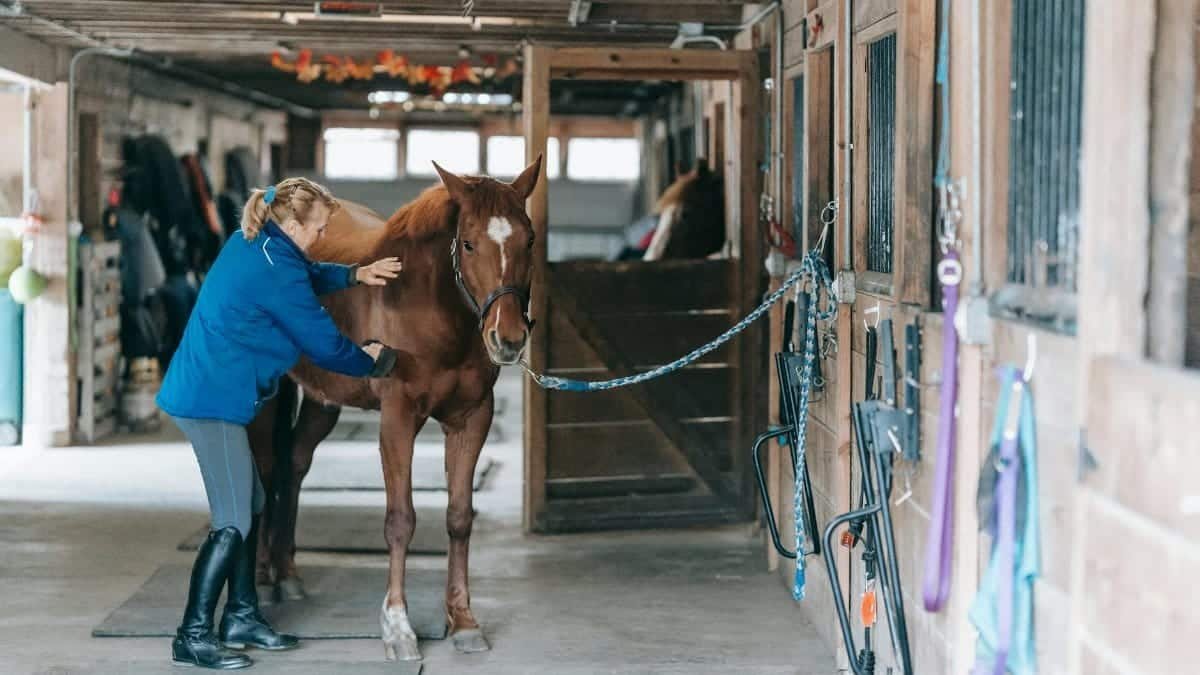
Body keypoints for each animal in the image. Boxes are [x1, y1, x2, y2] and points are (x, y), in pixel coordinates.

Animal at [246, 157, 542, 661]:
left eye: (529, 239)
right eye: (468, 242)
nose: (508, 340)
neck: (431, 307)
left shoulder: (472, 418)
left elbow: (459, 517)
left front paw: (463, 621)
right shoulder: (398, 418)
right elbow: (401, 520)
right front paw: (399, 628)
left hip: (324, 400)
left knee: (294, 465)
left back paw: (288, 574)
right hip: (267, 398)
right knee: (267, 472)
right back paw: (265, 581)